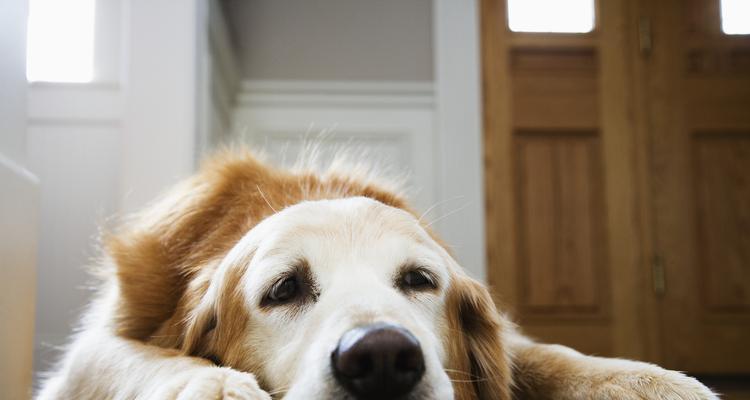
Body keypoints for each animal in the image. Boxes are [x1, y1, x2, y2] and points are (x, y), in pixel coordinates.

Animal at [38, 150, 720, 400]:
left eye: (419, 280)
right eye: (283, 289)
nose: (383, 358)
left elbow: (544, 355)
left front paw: (647, 381)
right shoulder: (92, 348)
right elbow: (139, 358)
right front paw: (213, 385)